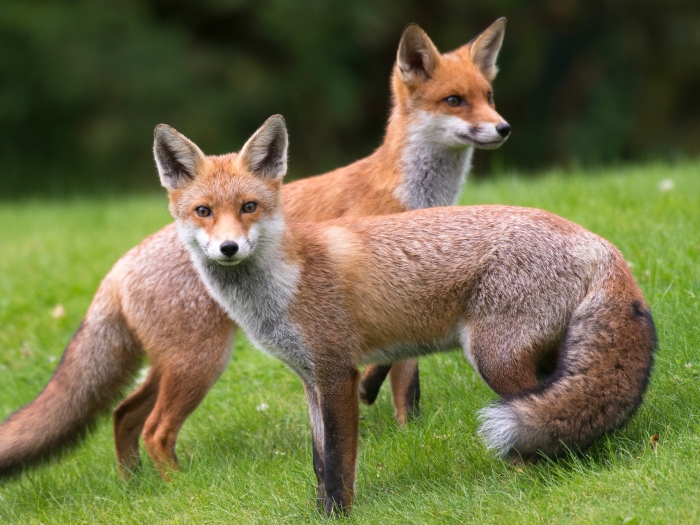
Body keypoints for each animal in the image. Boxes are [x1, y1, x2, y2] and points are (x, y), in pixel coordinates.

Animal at [0, 20, 510, 479]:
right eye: (454, 100)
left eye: (488, 96)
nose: (503, 128)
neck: (412, 194)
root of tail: (120, 264)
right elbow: (396, 372)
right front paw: (382, 406)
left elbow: (406, 379)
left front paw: (408, 428)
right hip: (199, 362)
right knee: (154, 428)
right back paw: (180, 490)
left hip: (174, 364)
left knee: (123, 414)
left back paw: (134, 487)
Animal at [157, 115, 656, 514]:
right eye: (203, 211)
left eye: (249, 207)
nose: (228, 248)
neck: (285, 280)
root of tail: (597, 242)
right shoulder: (310, 377)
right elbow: (318, 461)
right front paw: (319, 511)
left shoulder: (337, 372)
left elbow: (338, 462)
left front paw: (337, 514)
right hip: (548, 358)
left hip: (496, 360)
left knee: (536, 431)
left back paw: (521, 482)